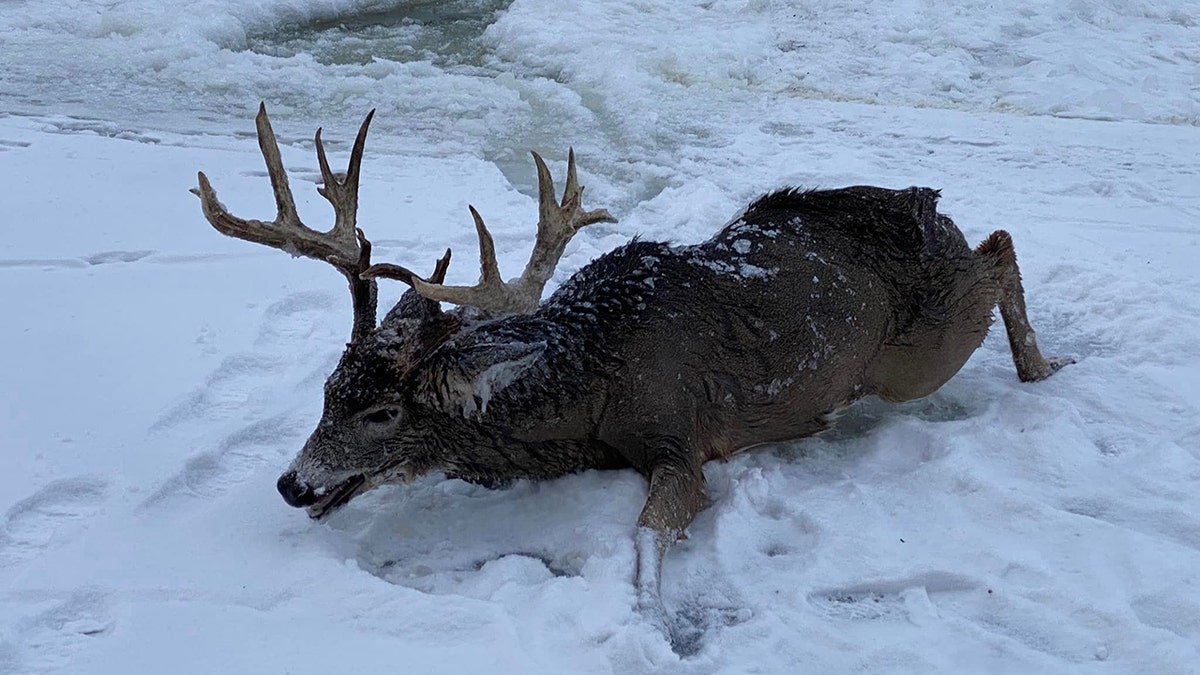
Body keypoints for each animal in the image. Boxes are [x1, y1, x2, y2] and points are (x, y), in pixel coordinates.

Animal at [194, 103, 1070, 629]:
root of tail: (928, 205)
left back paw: (1043, 366)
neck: (591, 381)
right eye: (327, 390)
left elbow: (648, 536)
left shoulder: (682, 435)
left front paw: (652, 622)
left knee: (1000, 247)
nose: (291, 483)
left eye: (383, 411)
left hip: (915, 354)